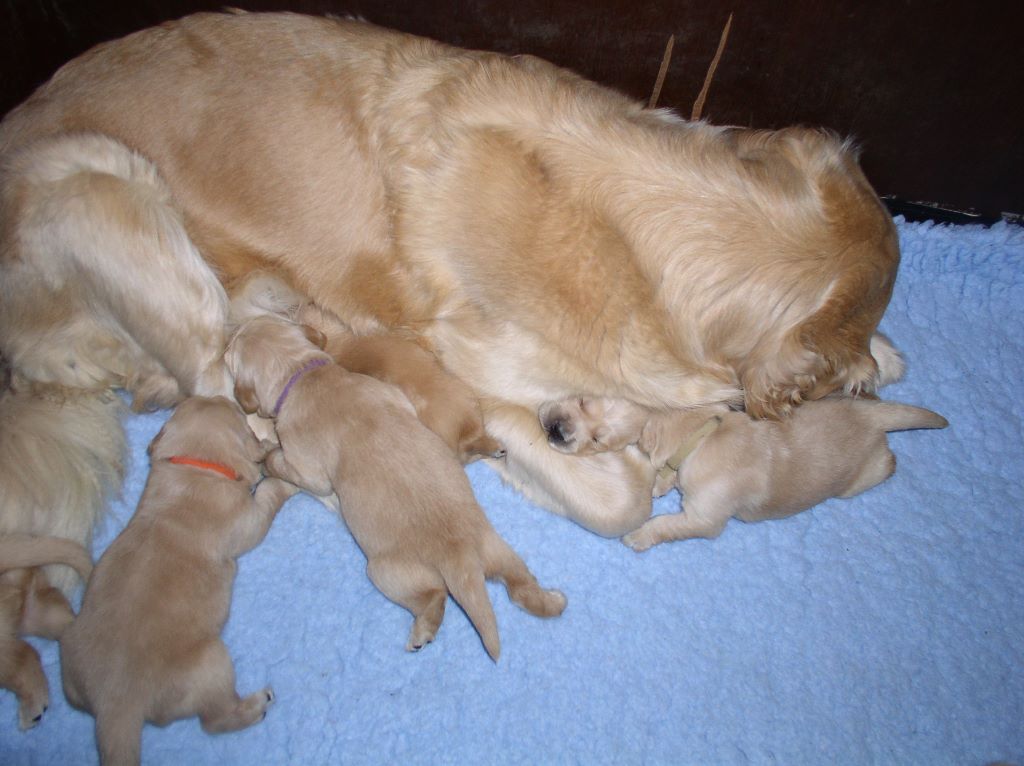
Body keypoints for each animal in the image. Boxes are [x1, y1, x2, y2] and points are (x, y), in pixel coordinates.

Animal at [61, 395, 296, 766]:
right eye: (235, 414)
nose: (220, 395)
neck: (196, 467)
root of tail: (116, 706)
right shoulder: (247, 520)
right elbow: (267, 497)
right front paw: (282, 478)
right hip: (212, 662)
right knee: (215, 721)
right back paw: (257, 704)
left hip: (70, 661)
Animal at [226, 313, 569, 659]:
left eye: (231, 350)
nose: (231, 334)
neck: (303, 373)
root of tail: (459, 558)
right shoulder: (390, 394)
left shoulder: (306, 464)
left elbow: (290, 467)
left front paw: (268, 456)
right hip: (498, 550)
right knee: (520, 586)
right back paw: (554, 601)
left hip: (387, 572)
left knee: (434, 597)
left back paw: (422, 632)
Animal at [540, 391, 946, 548]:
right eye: (582, 400)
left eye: (598, 440)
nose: (555, 427)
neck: (701, 433)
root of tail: (873, 417)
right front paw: (661, 483)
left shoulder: (704, 517)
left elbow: (668, 524)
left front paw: (639, 536)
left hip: (862, 477)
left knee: (887, 463)